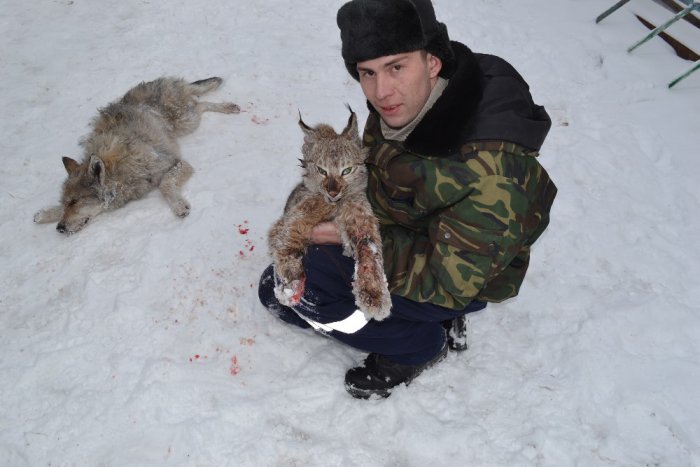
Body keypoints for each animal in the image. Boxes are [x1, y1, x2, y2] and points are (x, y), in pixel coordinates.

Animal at [33, 76, 239, 235]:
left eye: (75, 202)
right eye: (66, 202)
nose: (59, 228)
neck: (118, 172)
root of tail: (164, 82)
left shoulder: (176, 163)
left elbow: (165, 184)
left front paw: (179, 205)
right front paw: (45, 214)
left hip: (187, 122)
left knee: (201, 104)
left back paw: (228, 106)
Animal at [267, 108, 392, 321]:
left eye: (347, 170)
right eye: (321, 171)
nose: (333, 192)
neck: (335, 206)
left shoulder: (361, 215)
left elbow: (370, 247)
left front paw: (373, 293)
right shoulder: (292, 215)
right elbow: (291, 229)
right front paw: (291, 277)